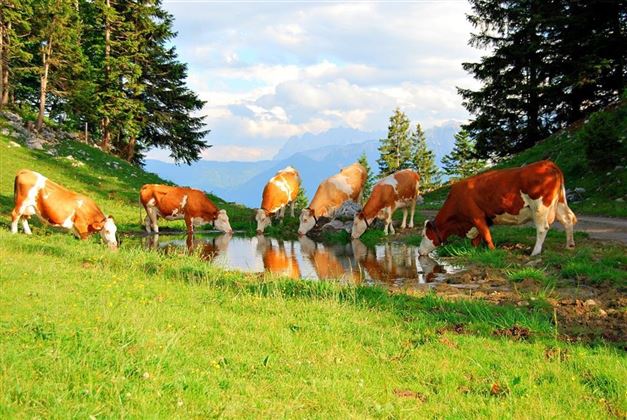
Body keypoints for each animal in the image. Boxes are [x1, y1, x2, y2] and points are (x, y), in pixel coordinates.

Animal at [420, 160, 576, 256]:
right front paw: (473, 251)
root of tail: (547, 163)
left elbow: (486, 236)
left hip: (540, 207)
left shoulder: (477, 216)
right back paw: (569, 245)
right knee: (567, 220)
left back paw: (535, 252)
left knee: (543, 228)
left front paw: (492, 251)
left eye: (423, 235)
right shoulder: (477, 221)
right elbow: (477, 239)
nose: (419, 251)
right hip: (559, 203)